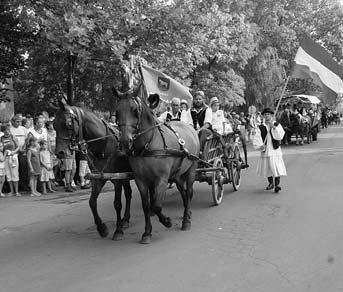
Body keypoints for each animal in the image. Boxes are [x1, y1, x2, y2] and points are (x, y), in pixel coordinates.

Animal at [54, 99, 133, 241]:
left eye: (68, 124)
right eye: (54, 125)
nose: (60, 153)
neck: (104, 145)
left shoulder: (117, 179)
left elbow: (117, 203)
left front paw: (118, 230)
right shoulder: (98, 178)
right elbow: (92, 202)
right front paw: (102, 228)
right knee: (129, 194)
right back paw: (126, 220)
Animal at [113, 89, 200, 244]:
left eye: (135, 111)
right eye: (117, 112)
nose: (124, 141)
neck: (147, 144)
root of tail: (190, 127)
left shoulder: (162, 179)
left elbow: (157, 206)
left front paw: (166, 221)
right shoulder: (140, 180)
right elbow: (147, 206)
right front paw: (147, 232)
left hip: (192, 168)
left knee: (189, 192)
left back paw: (186, 221)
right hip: (178, 174)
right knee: (183, 192)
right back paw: (187, 212)